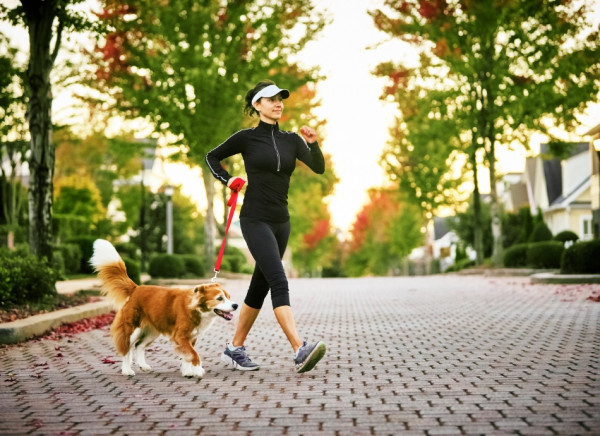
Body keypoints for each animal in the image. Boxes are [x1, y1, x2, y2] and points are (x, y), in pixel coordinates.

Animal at [90, 238, 238, 378]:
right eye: (220, 298)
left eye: (229, 297)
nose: (235, 305)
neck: (197, 309)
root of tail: (136, 288)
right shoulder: (180, 336)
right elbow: (193, 354)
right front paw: (197, 370)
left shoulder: (191, 337)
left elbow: (187, 356)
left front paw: (188, 371)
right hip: (132, 329)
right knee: (127, 348)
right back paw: (127, 370)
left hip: (152, 330)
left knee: (139, 346)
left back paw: (143, 365)